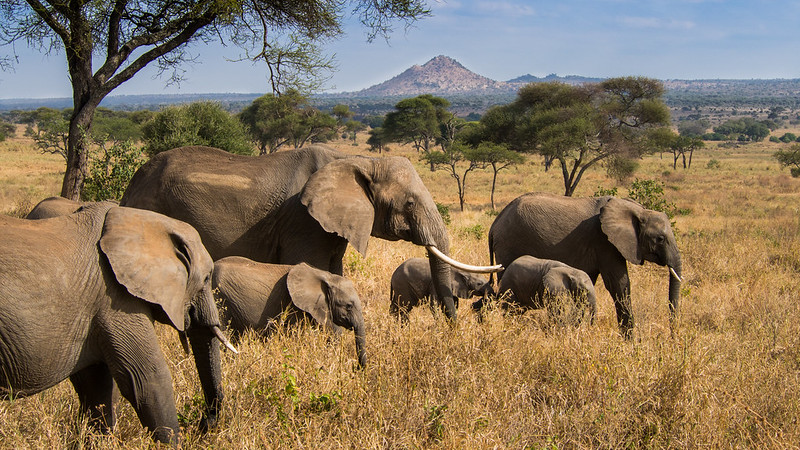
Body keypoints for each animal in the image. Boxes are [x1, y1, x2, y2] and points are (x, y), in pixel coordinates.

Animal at [119, 144, 500, 320]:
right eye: (408, 204)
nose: (452, 328)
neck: (356, 160)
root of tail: (131, 184)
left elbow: (334, 271)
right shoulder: (302, 221)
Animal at [488, 192, 680, 336]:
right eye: (660, 239)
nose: (672, 336)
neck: (637, 210)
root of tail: (495, 223)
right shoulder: (604, 241)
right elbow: (618, 284)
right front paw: (630, 341)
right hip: (509, 245)